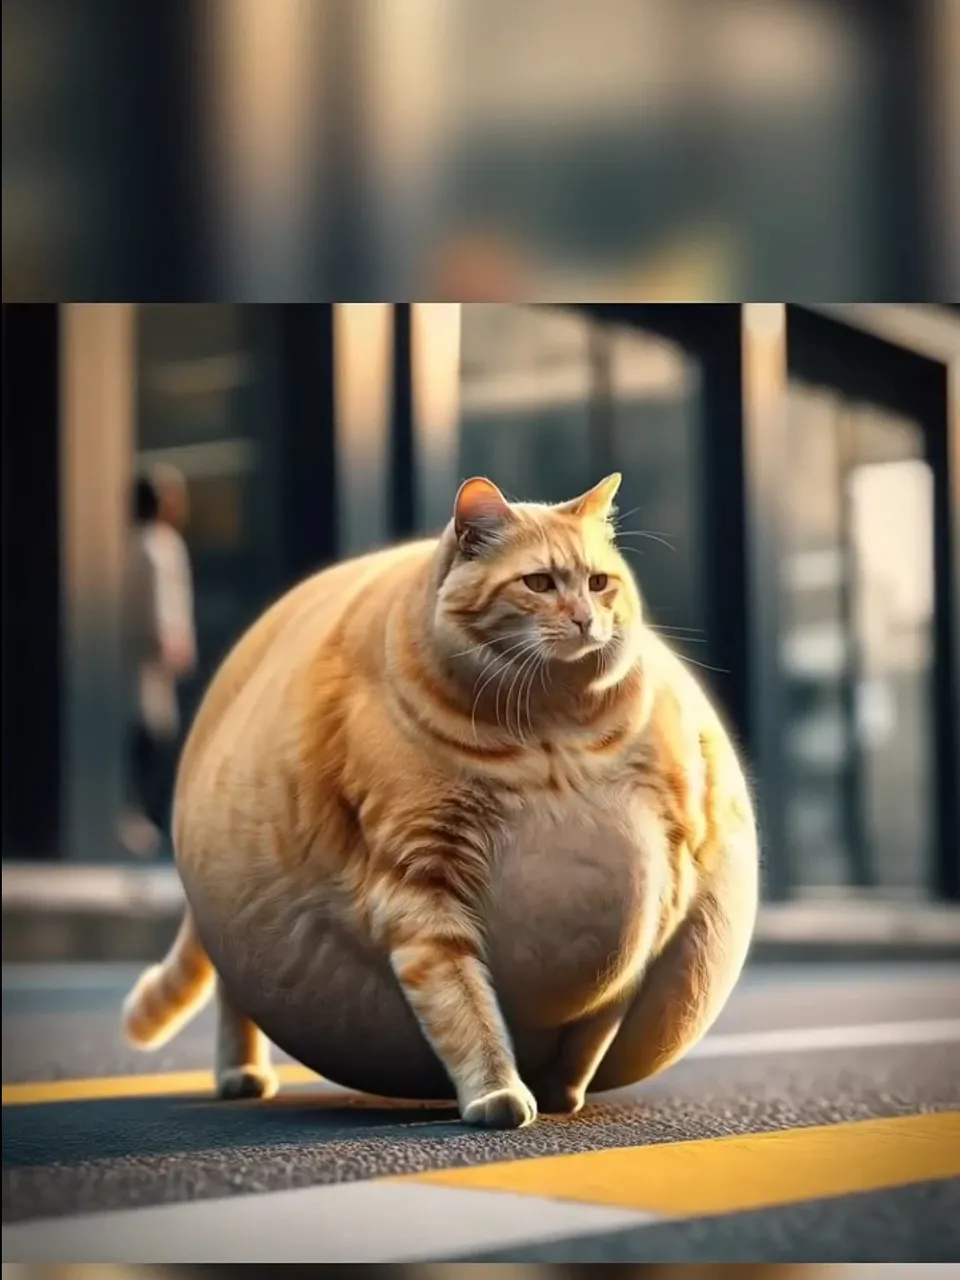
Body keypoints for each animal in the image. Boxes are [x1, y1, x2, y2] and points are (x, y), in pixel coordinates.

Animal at [122, 476, 757, 1126]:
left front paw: (563, 1091)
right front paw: (498, 1091)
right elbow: (464, 1008)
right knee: (234, 993)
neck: (553, 734)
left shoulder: (661, 896)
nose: (585, 619)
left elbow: (595, 1025)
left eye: (599, 582)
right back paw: (240, 1073)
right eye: (539, 584)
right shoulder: (421, 886)